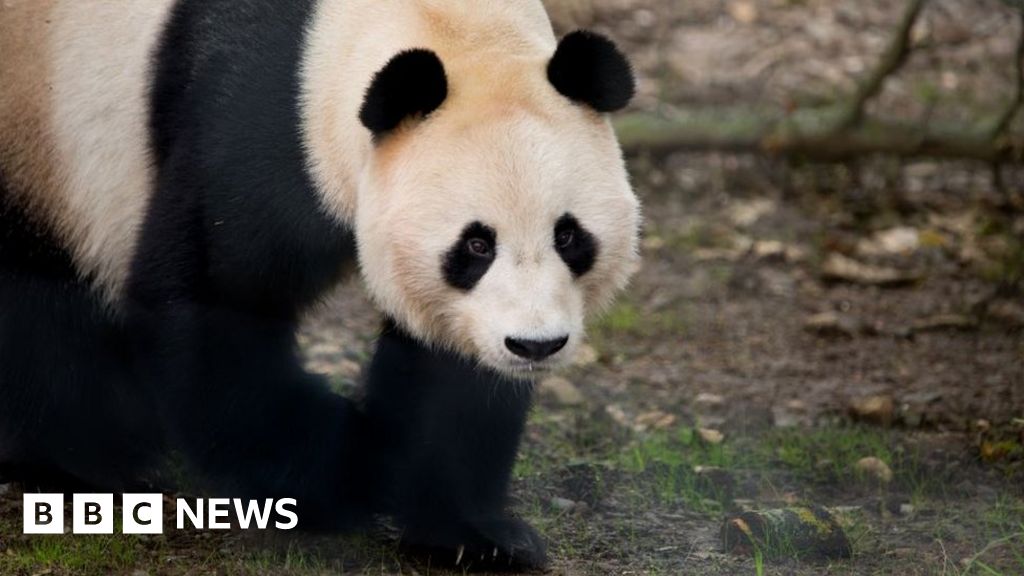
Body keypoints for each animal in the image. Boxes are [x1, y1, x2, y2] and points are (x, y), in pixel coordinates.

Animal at [0, 0, 638, 565]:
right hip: (37, 127)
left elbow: (451, 372)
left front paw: (473, 534)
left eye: (569, 236)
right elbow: (212, 307)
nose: (534, 346)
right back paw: (85, 461)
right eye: (476, 245)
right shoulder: (258, 121)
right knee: (40, 302)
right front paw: (357, 466)